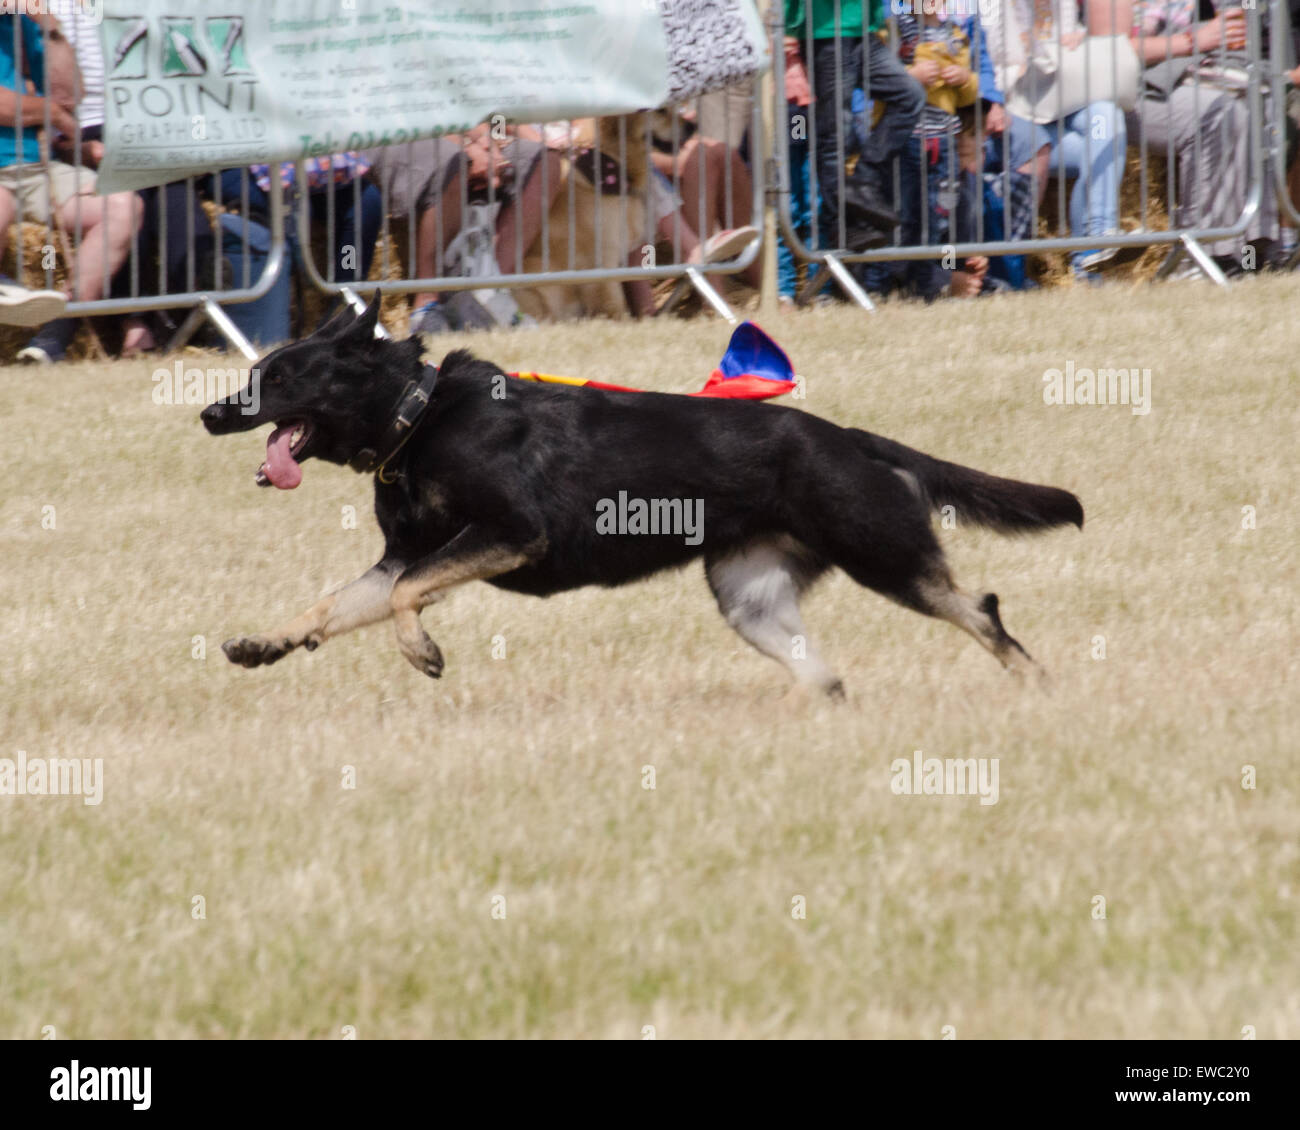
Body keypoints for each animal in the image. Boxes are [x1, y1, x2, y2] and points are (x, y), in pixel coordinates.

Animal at [200, 292, 1076, 696]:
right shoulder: (406, 555)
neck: (418, 415)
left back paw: (1036, 686)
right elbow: (337, 603)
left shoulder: (507, 534)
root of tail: (850, 437)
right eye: (254, 374)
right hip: (752, 602)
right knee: (827, 677)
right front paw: (267, 642)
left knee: (981, 609)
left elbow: (408, 596)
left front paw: (422, 652)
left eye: (279, 378)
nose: (208, 414)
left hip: (881, 552)